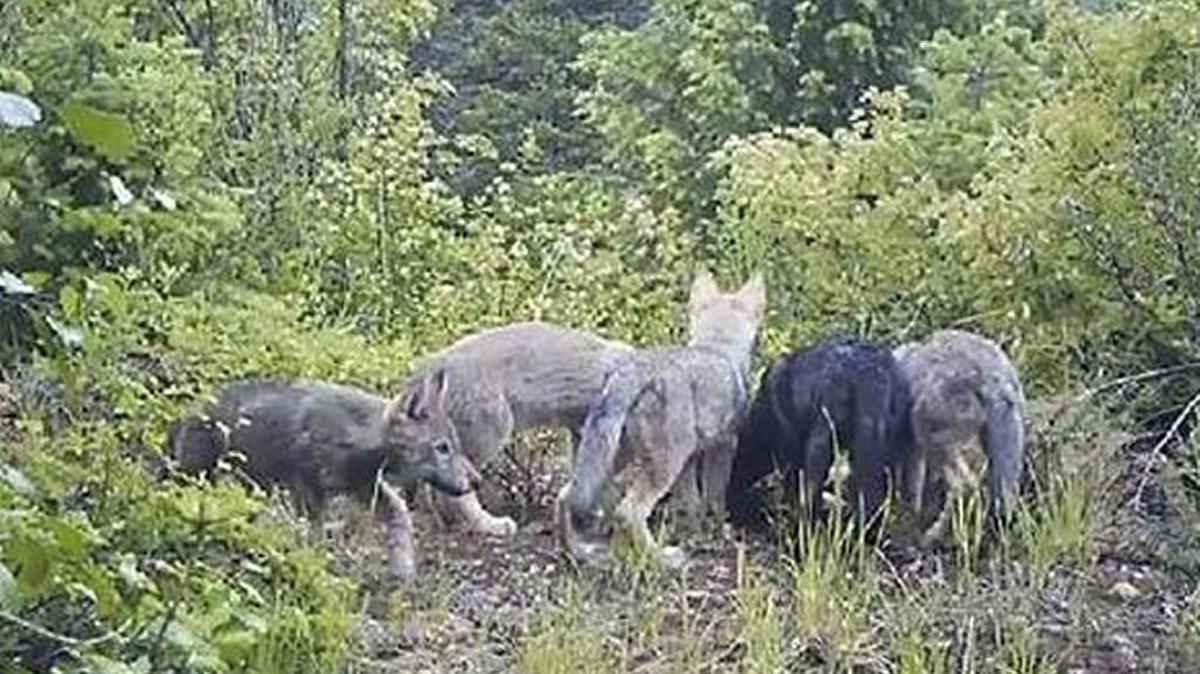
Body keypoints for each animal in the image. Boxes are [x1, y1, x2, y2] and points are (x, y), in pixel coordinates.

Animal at [170, 370, 477, 581]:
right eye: (442, 448)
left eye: (456, 444)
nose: (476, 480)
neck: (357, 438)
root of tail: (190, 409)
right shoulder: (307, 489)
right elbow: (314, 537)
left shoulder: (363, 486)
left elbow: (400, 516)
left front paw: (403, 569)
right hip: (197, 473)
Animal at [403, 321, 633, 537]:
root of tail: (434, 362)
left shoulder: (581, 431)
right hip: (494, 425)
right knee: (456, 492)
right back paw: (489, 524)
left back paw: (444, 522)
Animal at [555, 271, 766, 567]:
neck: (717, 348)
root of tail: (638, 369)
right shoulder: (723, 446)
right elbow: (714, 496)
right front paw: (716, 531)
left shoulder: (690, 461)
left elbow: (690, 503)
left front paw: (693, 531)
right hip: (663, 464)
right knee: (628, 512)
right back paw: (663, 558)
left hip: (615, 460)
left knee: (565, 495)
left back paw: (578, 553)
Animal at [893, 329, 1026, 546]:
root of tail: (994, 381)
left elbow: (913, 481)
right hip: (1003, 443)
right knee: (998, 492)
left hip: (934, 435)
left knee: (965, 484)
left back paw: (932, 535)